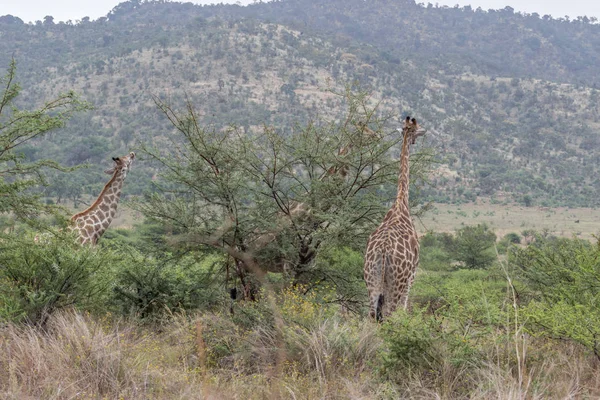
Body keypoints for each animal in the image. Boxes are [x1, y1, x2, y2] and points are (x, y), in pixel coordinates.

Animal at [364, 116, 424, 322]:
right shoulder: (412, 277)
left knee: (371, 316)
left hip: (372, 282)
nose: (424, 132)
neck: (401, 201)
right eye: (417, 128)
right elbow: (404, 310)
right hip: (397, 284)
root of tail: (383, 252)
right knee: (391, 314)